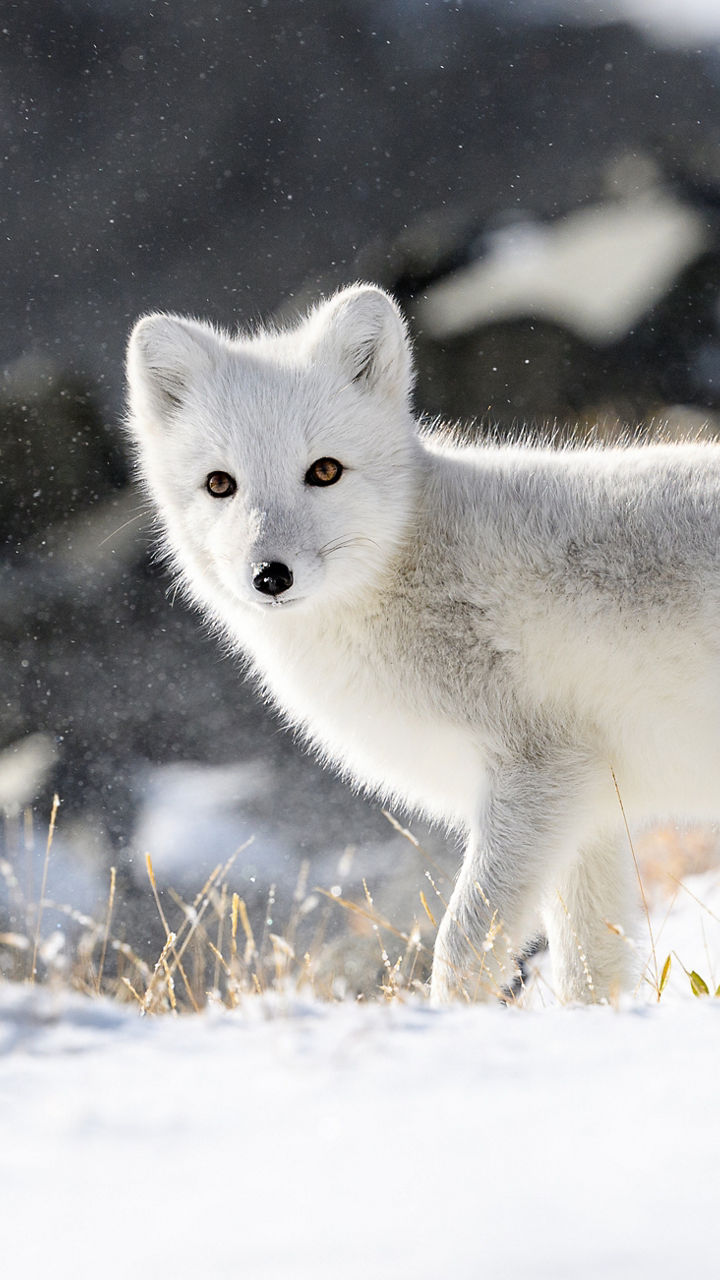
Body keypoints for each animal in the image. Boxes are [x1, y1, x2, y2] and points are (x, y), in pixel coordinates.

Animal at [126, 283, 720, 1004]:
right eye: (220, 483)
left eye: (325, 471)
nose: (270, 576)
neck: (407, 565)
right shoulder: (592, 811)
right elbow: (591, 967)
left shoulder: (539, 774)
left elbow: (463, 946)